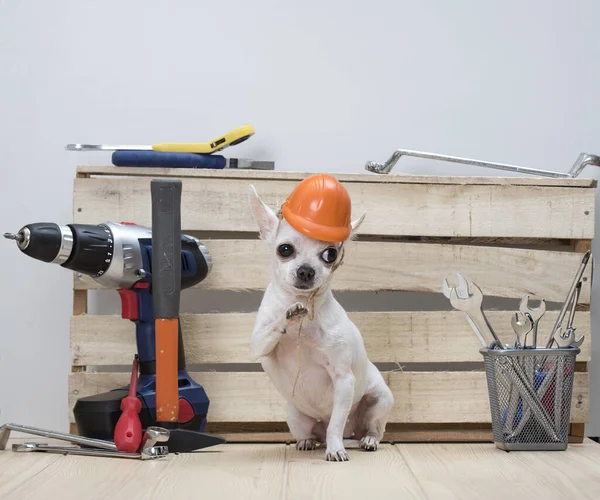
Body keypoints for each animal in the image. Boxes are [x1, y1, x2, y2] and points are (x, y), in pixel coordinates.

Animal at [247, 184, 394, 460]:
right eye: (284, 249)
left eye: (330, 254)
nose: (306, 269)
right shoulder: (257, 344)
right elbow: (271, 328)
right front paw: (288, 314)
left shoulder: (344, 381)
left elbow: (335, 424)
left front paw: (335, 450)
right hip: (294, 414)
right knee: (312, 434)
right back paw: (306, 442)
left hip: (380, 399)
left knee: (368, 429)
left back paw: (367, 440)